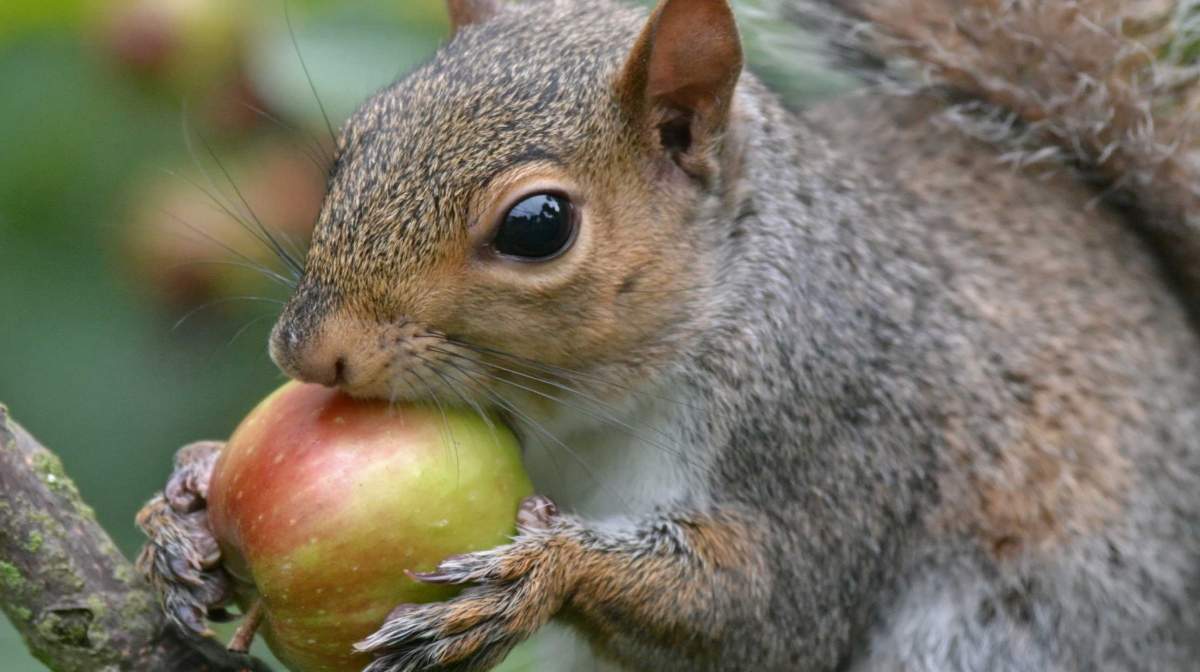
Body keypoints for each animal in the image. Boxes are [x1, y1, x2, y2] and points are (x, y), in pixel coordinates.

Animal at [136, 0, 1200, 670]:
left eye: (538, 226)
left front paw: (542, 573)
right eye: (351, 145)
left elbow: (768, 612)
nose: (305, 352)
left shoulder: (832, 428)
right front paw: (185, 499)